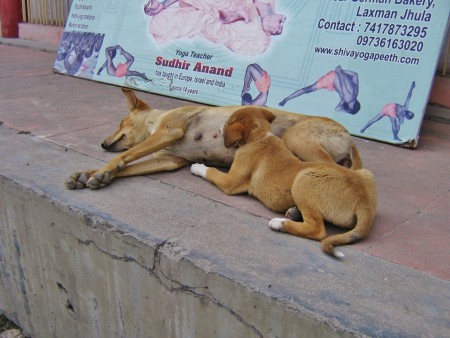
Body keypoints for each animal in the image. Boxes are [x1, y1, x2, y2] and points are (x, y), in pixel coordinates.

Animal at [66, 89, 362, 190]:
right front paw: (90, 174)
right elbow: (129, 165)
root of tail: (348, 136)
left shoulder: (168, 131)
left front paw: (102, 171)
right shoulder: (169, 161)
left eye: (120, 122)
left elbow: (125, 156)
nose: (102, 144)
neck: (154, 124)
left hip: (297, 139)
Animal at [192, 107, 378, 258]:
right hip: (365, 173)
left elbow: (212, 171)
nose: (219, 128)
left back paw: (280, 223)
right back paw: (293, 212)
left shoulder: (230, 182)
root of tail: (364, 203)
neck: (260, 137)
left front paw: (198, 167)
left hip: (304, 179)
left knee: (317, 229)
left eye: (227, 123)